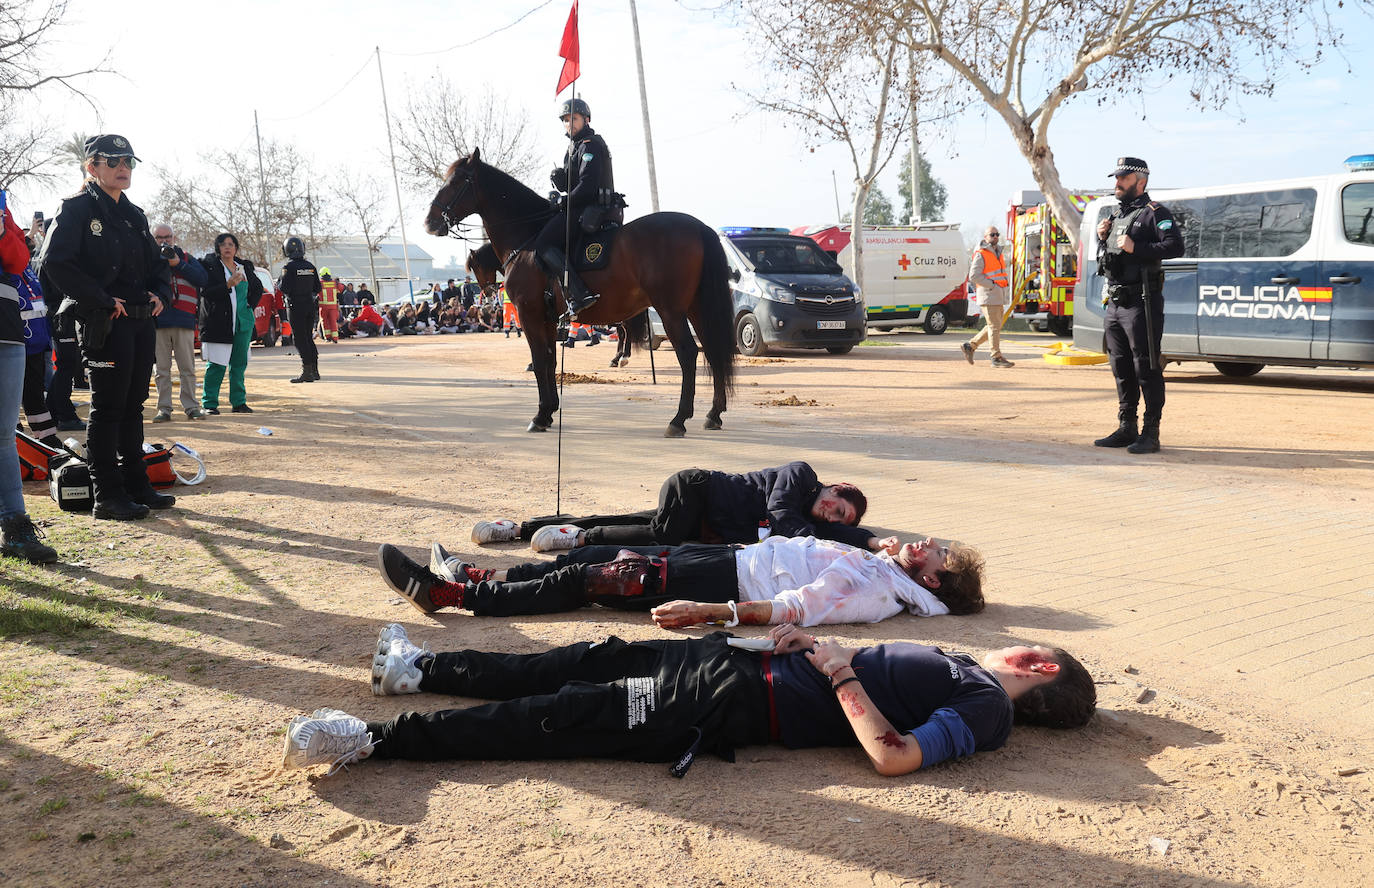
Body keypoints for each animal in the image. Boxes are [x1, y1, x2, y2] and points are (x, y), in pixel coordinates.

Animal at [425, 151, 736, 439]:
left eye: (457, 181)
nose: (430, 221)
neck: (526, 239)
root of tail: (698, 226)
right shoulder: (549, 319)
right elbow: (550, 360)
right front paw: (550, 411)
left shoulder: (529, 314)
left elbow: (540, 361)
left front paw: (540, 415)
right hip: (696, 308)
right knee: (712, 349)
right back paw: (713, 414)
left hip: (670, 310)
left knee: (688, 353)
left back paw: (678, 419)